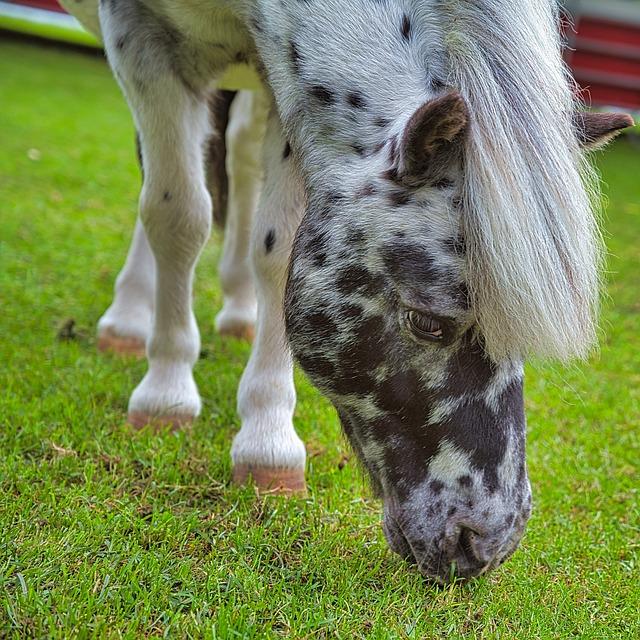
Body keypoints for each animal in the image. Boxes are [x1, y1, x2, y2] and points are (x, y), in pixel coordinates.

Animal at [58, 0, 632, 580]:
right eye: (428, 321)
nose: (485, 541)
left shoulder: (286, 87)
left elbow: (277, 250)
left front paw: (267, 440)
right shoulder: (139, 40)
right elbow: (177, 216)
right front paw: (166, 393)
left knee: (239, 156)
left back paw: (239, 309)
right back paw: (129, 317)